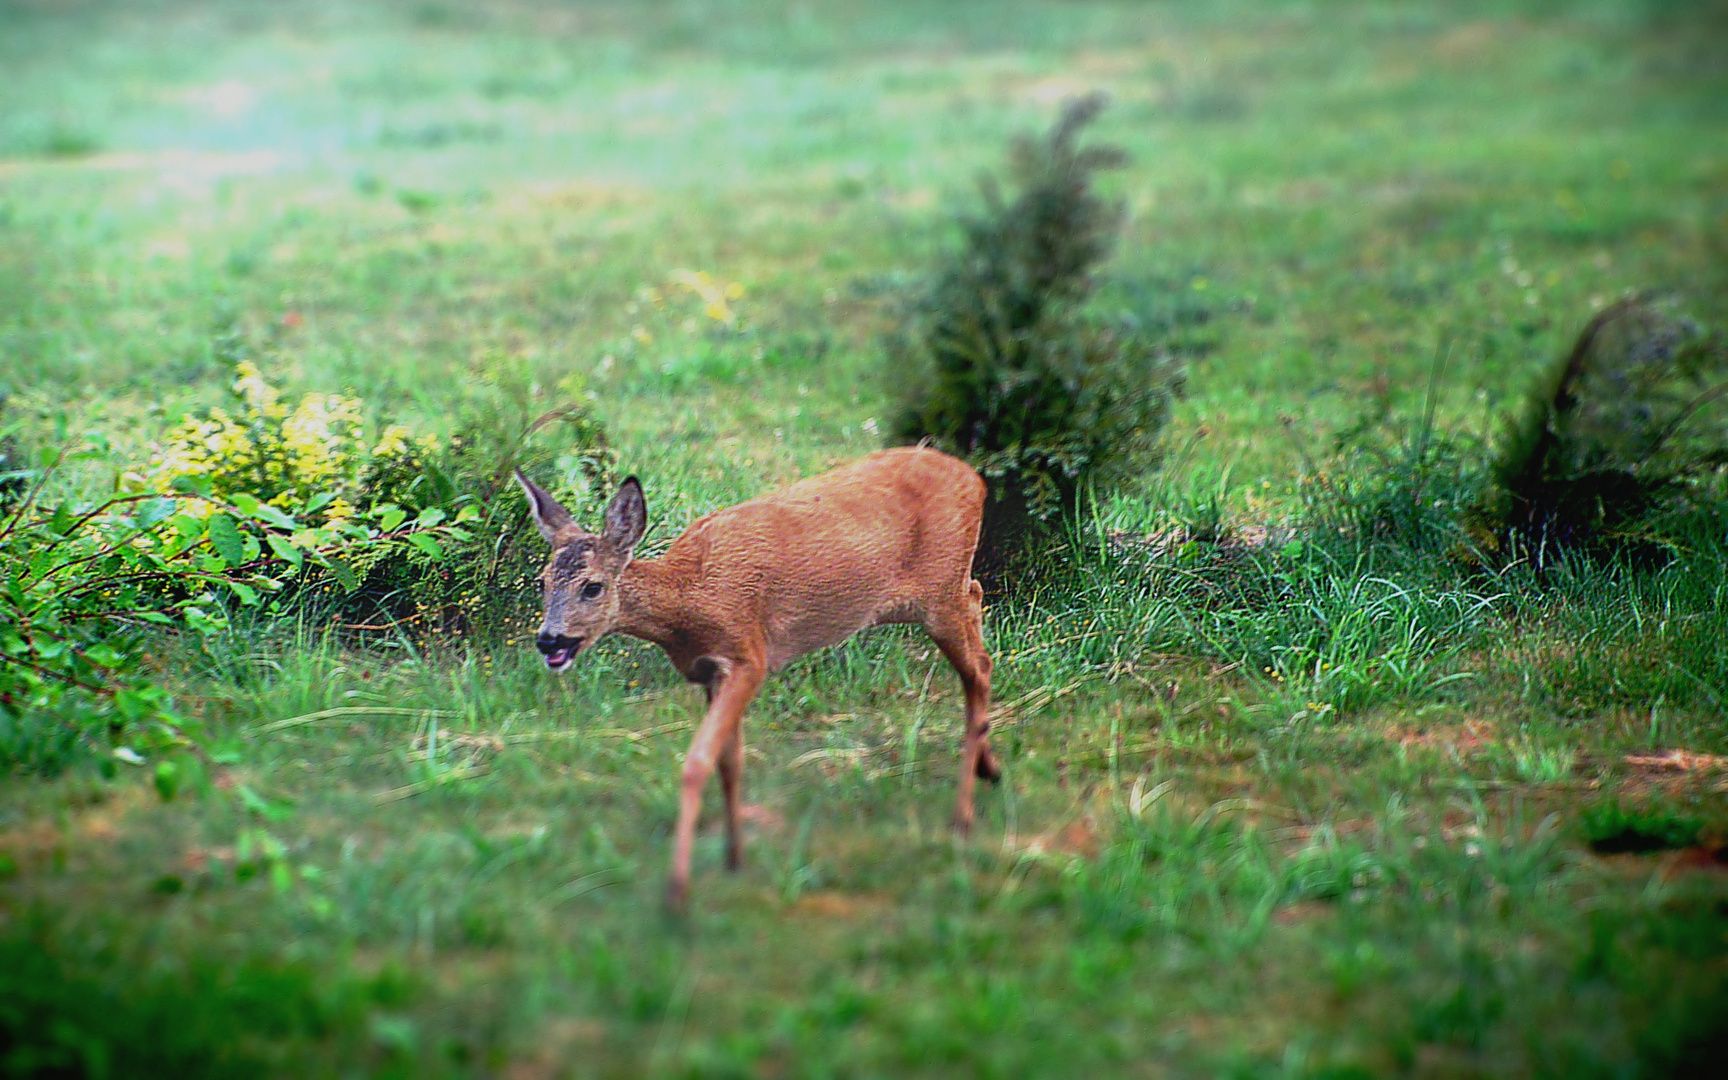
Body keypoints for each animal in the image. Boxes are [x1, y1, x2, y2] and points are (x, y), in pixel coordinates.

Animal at [511, 445, 1002, 912]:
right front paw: (734, 858)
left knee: (978, 663)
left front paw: (678, 890)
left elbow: (698, 762)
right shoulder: (710, 673)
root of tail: (975, 479)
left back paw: (963, 816)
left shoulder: (748, 656)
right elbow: (730, 763)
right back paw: (990, 769)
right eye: (542, 581)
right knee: (978, 606)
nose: (549, 640)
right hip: (946, 590)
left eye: (592, 586)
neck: (690, 599)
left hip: (938, 590)